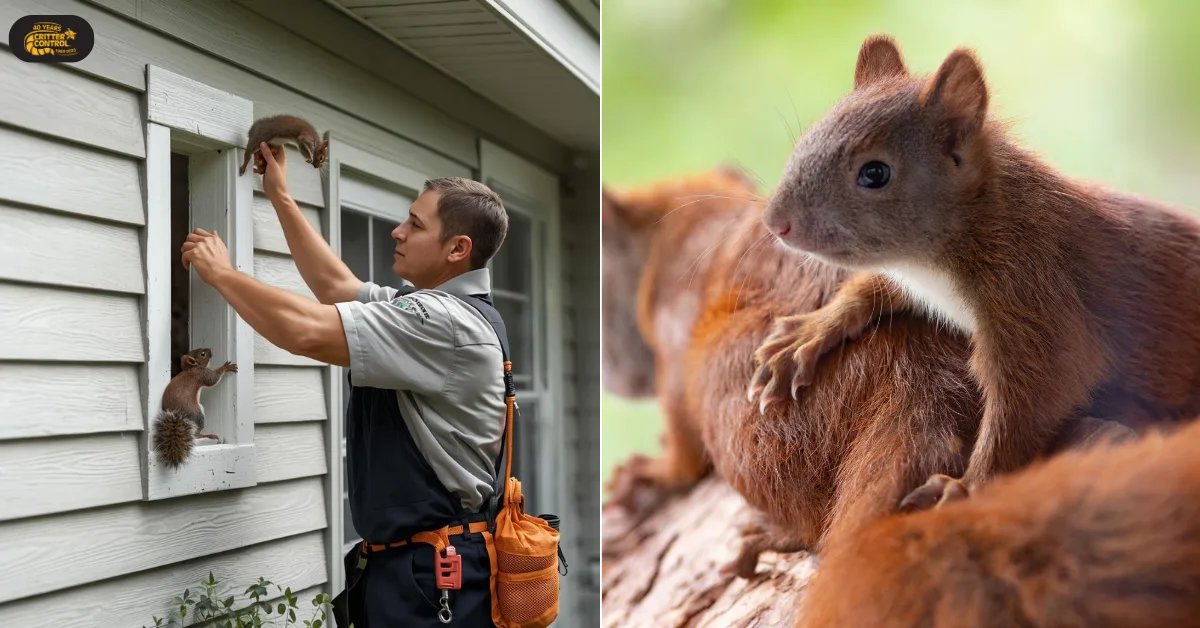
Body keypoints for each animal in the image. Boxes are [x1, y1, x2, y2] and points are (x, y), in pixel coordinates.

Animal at [747, 34, 1200, 509]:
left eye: (875, 173)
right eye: (806, 139)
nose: (775, 223)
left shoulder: (1033, 291)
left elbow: (1030, 401)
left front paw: (966, 488)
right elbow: (871, 289)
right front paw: (809, 333)